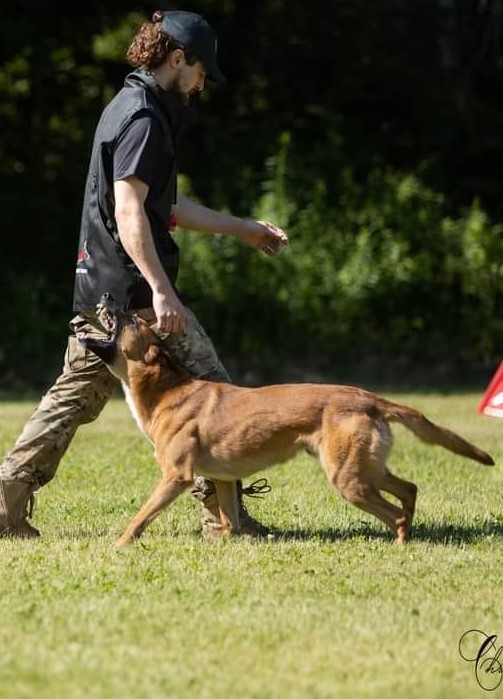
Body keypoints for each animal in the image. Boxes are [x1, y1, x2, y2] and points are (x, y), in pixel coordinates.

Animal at [79, 295, 494, 547]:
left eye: (132, 319)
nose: (106, 297)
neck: (164, 391)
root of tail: (368, 397)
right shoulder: (223, 478)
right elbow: (229, 521)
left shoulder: (175, 476)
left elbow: (140, 517)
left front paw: (119, 545)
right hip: (365, 468)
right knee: (409, 489)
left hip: (347, 478)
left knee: (395, 515)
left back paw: (402, 544)